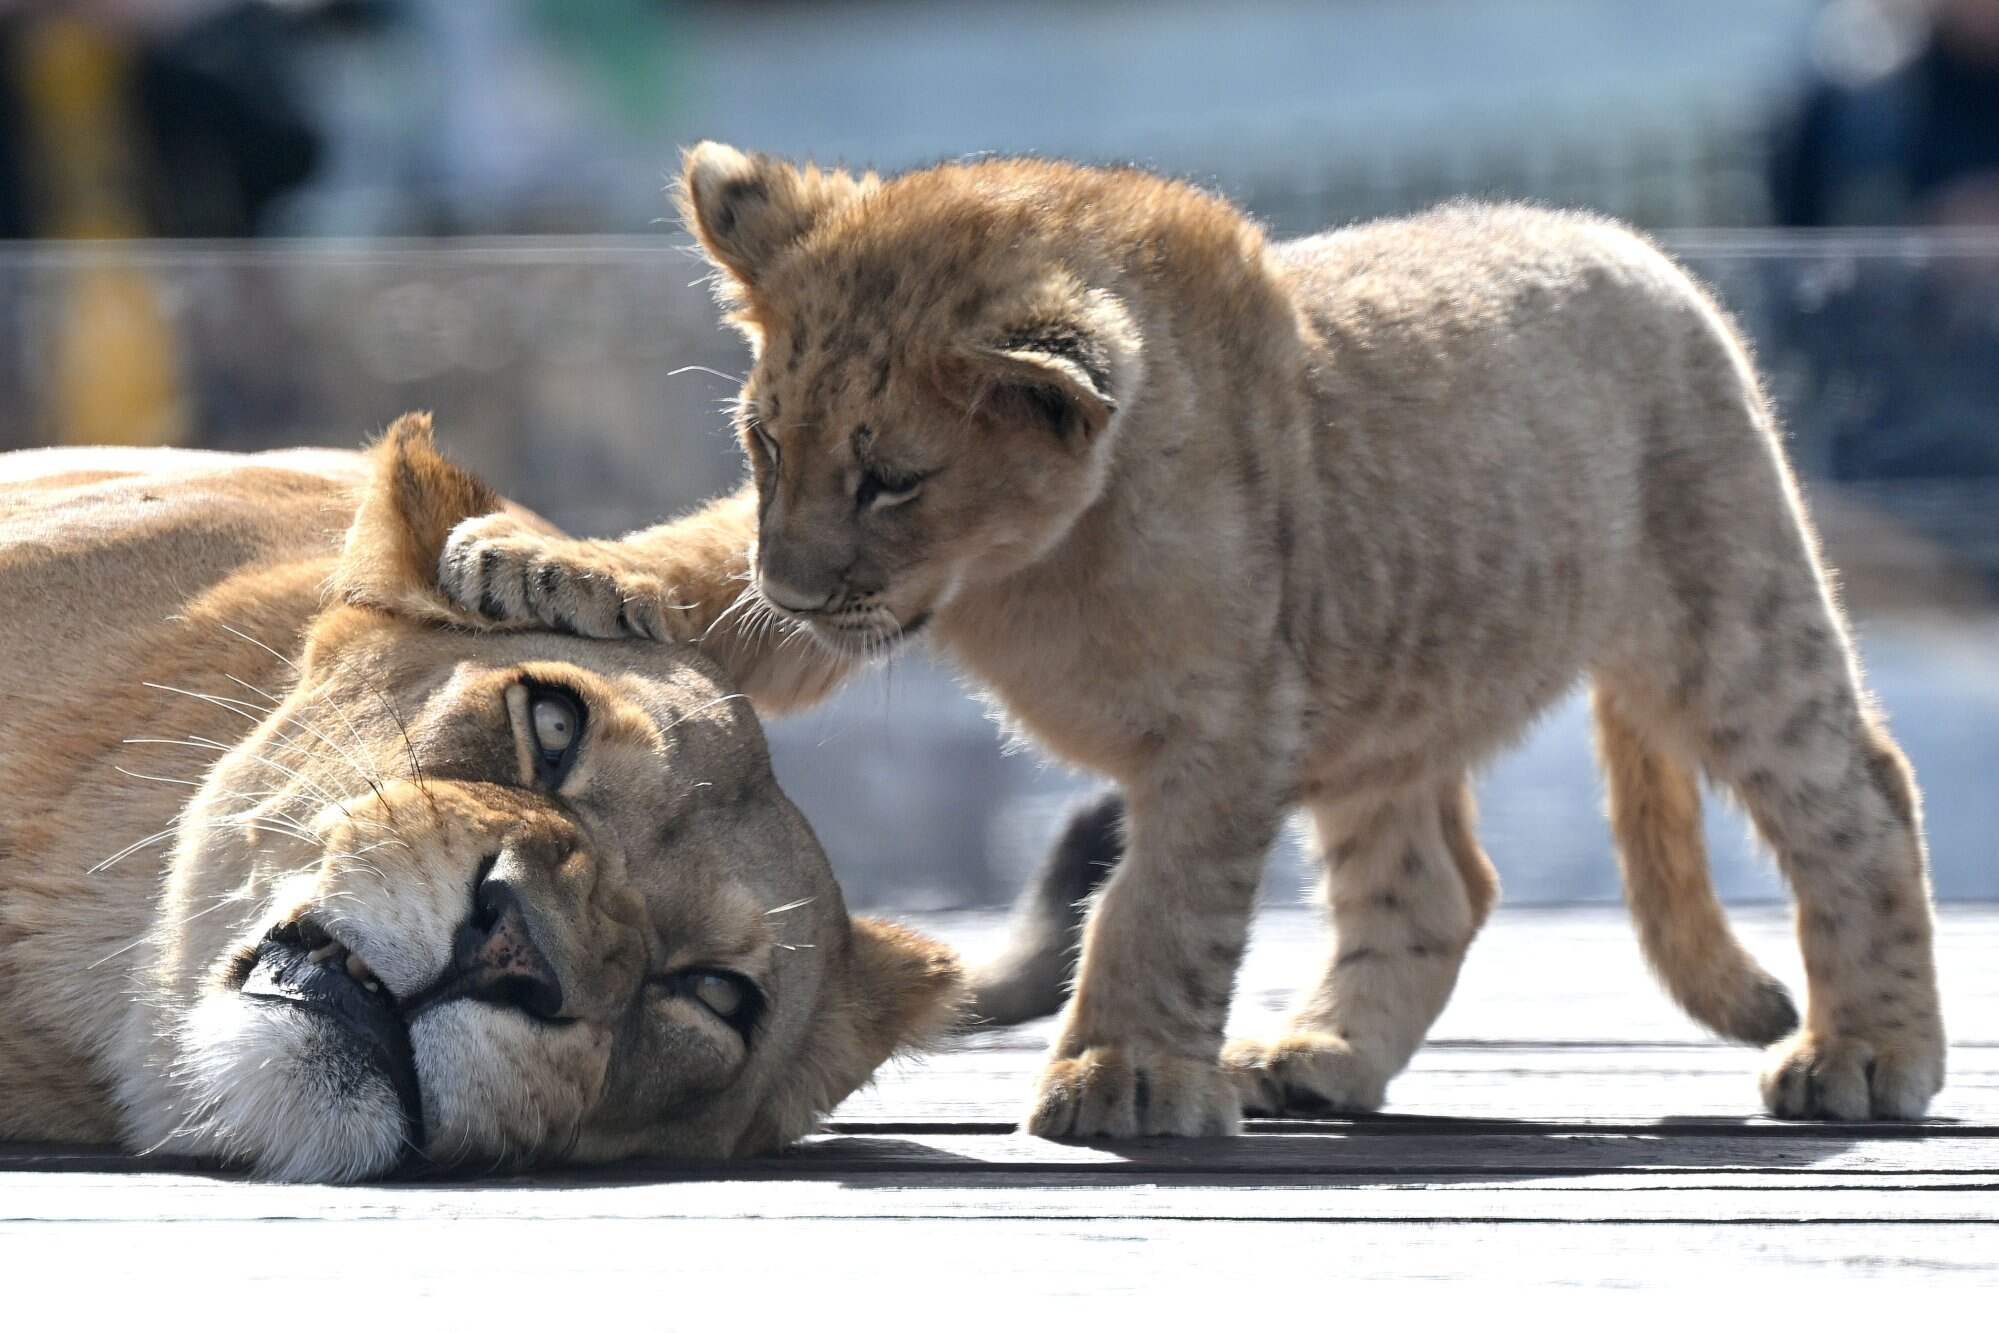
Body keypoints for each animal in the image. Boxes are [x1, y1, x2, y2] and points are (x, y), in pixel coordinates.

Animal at [439, 145, 1946, 1135]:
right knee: (1435, 888)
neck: (1031, 561)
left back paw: (1867, 1056)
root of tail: (1637, 248)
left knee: (1862, 798)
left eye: (892, 478)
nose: (794, 584)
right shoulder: (845, 611)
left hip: (1725, 615)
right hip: (1377, 699)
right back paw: (1321, 1054)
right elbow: (693, 561)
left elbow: (1158, 907)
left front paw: (1124, 1073)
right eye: (763, 445)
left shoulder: (1226, 725)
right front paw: (536, 558)